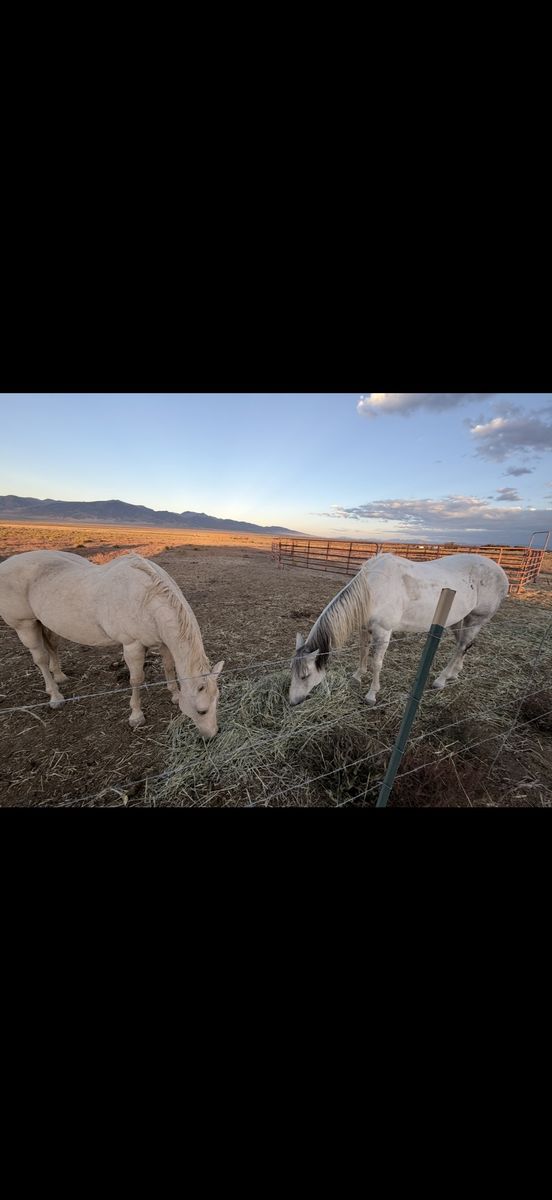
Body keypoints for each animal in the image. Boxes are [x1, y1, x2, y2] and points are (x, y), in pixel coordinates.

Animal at [0, 551, 224, 734]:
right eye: (202, 711)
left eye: (217, 701)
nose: (211, 735)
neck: (147, 598)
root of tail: (6, 564)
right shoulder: (132, 645)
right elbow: (136, 680)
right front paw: (136, 716)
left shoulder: (163, 642)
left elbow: (169, 667)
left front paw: (175, 695)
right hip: (25, 626)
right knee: (40, 659)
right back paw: (55, 696)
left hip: (44, 622)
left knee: (52, 647)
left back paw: (60, 676)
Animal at [289, 552, 509, 707]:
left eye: (305, 676)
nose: (293, 702)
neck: (373, 590)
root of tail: (501, 572)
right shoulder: (364, 629)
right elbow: (362, 652)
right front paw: (357, 677)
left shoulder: (383, 632)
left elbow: (377, 663)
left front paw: (371, 695)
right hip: (459, 619)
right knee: (464, 645)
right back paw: (455, 673)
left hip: (476, 619)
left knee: (462, 645)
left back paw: (441, 680)